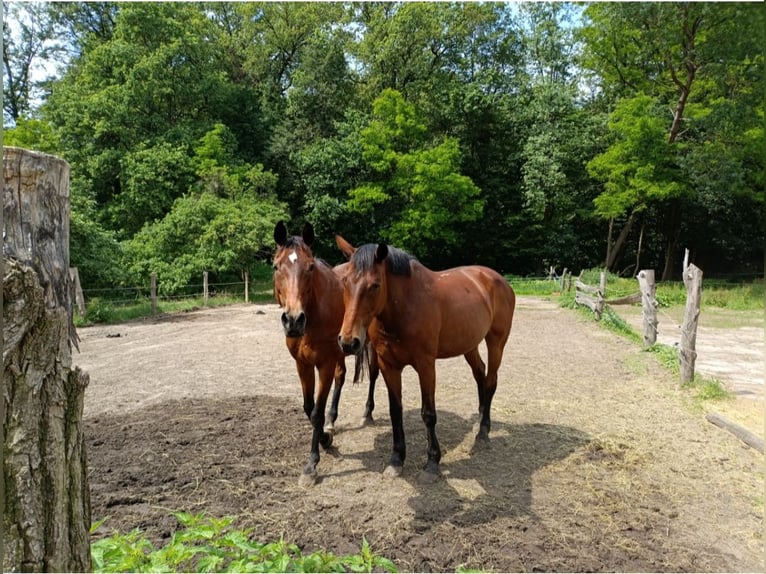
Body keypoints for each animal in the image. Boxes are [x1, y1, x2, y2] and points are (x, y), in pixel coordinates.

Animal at [274, 220, 380, 486]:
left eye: (310, 267)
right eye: (276, 266)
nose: (293, 321)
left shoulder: (324, 364)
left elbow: (316, 413)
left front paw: (312, 464)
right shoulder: (303, 364)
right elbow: (308, 407)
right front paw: (326, 435)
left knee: (374, 375)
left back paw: (367, 413)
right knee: (341, 378)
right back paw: (333, 422)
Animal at [336, 236, 516, 484]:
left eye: (375, 285)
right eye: (344, 282)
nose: (348, 342)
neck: (406, 306)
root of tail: (498, 279)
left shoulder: (426, 365)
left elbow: (429, 414)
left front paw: (432, 462)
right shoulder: (388, 365)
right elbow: (395, 411)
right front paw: (396, 459)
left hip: (496, 342)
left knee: (490, 381)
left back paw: (483, 433)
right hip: (469, 344)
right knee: (480, 373)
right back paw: (479, 419)